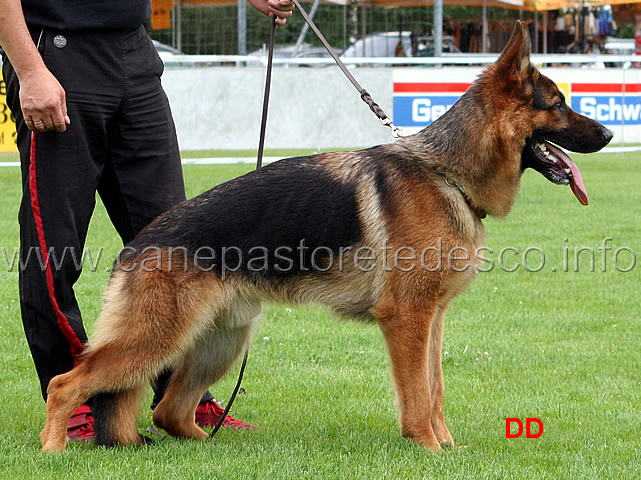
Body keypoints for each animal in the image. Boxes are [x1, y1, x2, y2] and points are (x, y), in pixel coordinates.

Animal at [40, 21, 608, 450]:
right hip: (157, 337)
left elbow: (436, 389)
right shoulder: (407, 319)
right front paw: (427, 447)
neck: (446, 172)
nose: (606, 134)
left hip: (220, 341)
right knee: (66, 383)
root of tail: (138, 243)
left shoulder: (433, 318)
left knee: (168, 411)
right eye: (557, 104)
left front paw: (447, 446)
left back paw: (210, 447)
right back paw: (54, 449)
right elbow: (418, 395)